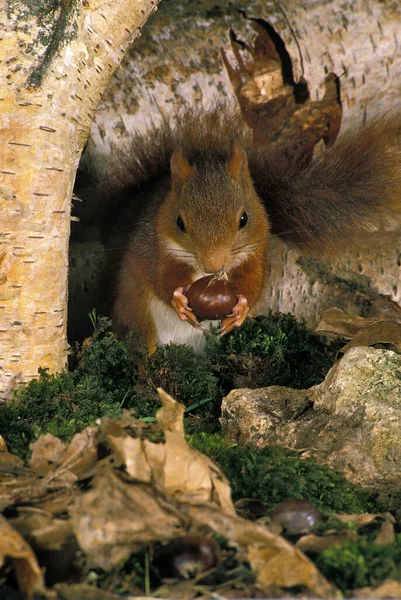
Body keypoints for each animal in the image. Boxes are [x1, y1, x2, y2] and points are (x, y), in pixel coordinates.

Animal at [96, 108, 400, 352]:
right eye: (180, 222)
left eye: (244, 218)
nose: (213, 264)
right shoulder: (157, 248)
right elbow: (163, 278)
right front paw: (179, 300)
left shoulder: (255, 254)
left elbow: (253, 283)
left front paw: (241, 308)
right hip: (135, 312)